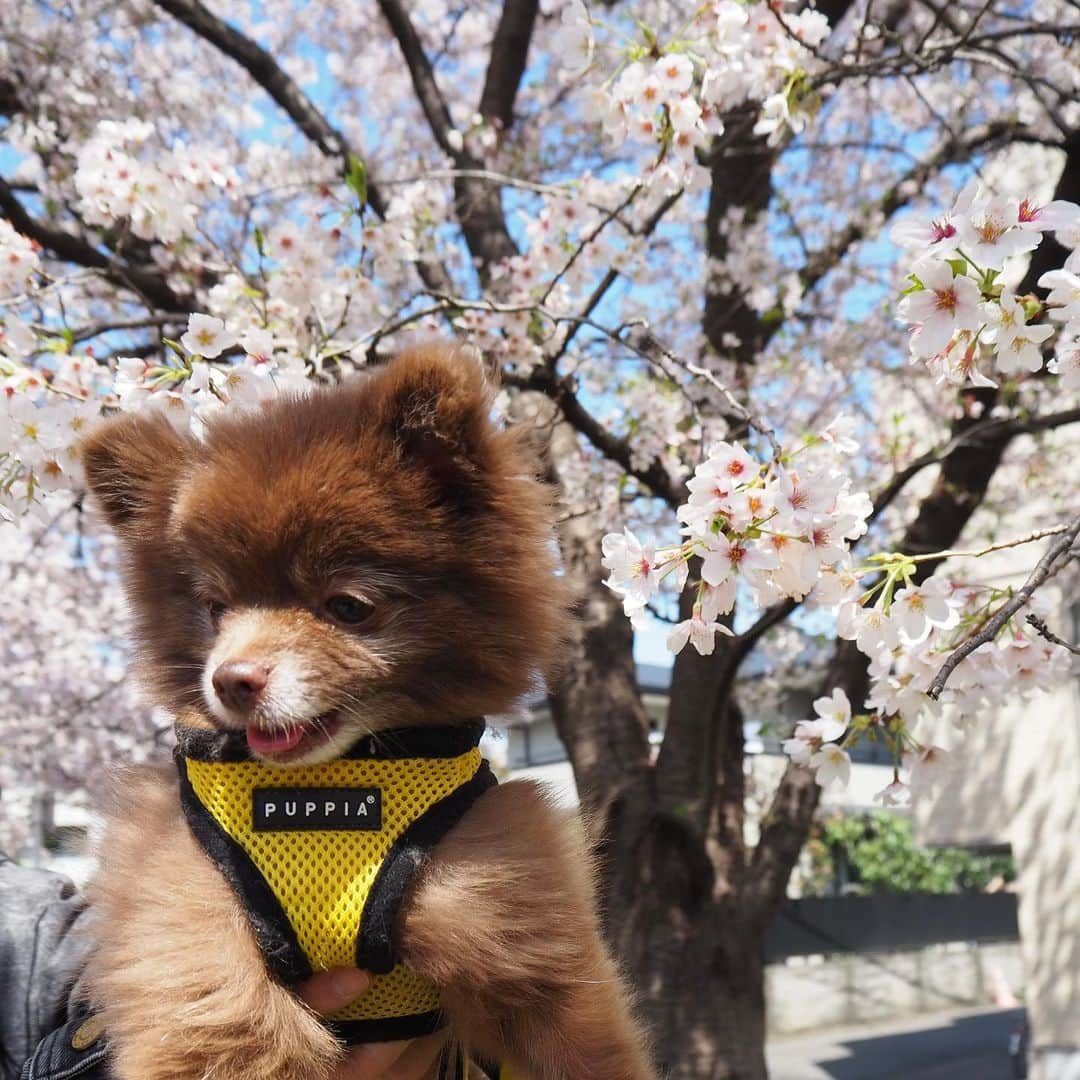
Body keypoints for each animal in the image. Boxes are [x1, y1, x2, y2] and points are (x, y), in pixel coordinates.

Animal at [79, 345, 652, 1080]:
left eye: (348, 606)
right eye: (215, 609)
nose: (232, 679)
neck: (337, 780)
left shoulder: (513, 918)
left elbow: (581, 1043)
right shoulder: (181, 907)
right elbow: (231, 1025)